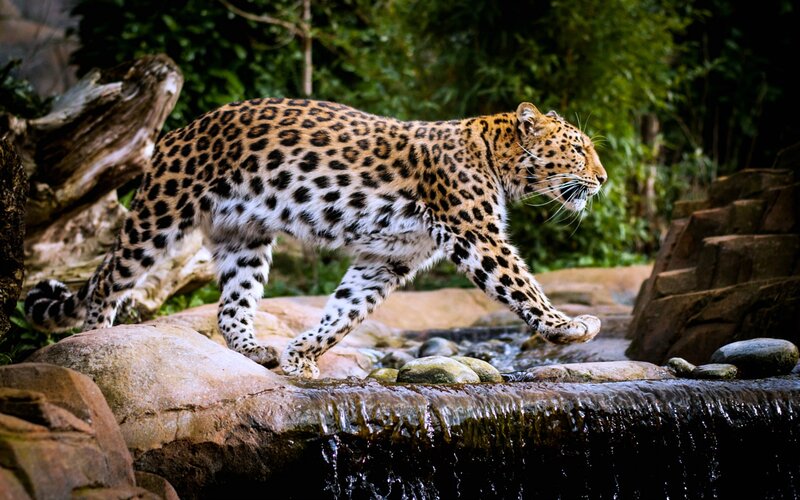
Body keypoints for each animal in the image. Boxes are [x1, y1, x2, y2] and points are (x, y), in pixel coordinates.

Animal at [25, 97, 607, 378]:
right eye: (579, 149)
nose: (602, 179)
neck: (499, 162)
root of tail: (177, 131)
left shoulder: (387, 258)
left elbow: (345, 311)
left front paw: (302, 356)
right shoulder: (477, 235)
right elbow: (522, 285)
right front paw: (568, 326)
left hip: (244, 238)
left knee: (231, 306)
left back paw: (256, 350)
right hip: (160, 214)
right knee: (108, 277)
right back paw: (94, 341)